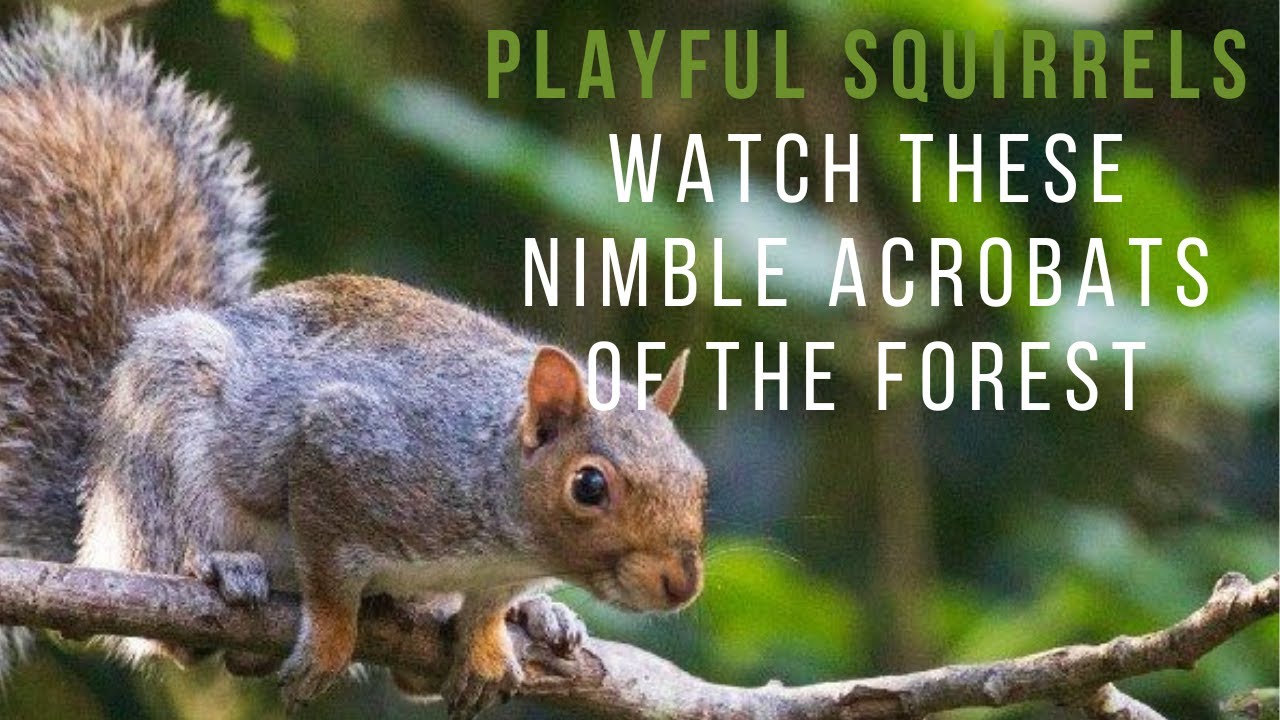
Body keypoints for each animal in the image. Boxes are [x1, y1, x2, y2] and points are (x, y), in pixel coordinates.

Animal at [0, 13, 707, 720]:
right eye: (588, 486)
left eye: (698, 479)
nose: (682, 583)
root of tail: (95, 510)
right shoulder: (348, 450)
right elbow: (330, 577)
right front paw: (329, 642)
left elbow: (483, 610)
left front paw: (486, 641)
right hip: (157, 449)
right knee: (168, 591)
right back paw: (217, 567)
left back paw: (539, 617)